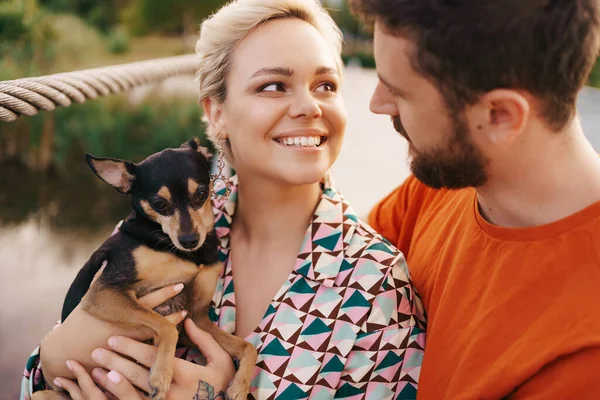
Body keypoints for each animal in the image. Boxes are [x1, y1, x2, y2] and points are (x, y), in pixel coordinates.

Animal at [33, 138, 258, 400]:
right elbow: (166, 327)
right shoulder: (104, 292)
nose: (190, 240)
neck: (180, 253)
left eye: (202, 194)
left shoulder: (196, 319)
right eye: (159, 204)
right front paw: (161, 375)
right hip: (43, 394)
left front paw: (240, 386)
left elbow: (247, 346)